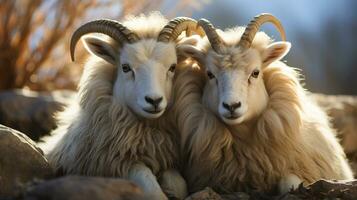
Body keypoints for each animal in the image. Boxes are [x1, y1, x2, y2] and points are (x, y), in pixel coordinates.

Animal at [47, 12, 203, 200]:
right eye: (126, 67)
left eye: (173, 67)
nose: (154, 100)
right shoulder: (118, 163)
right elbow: (153, 190)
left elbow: (179, 185)